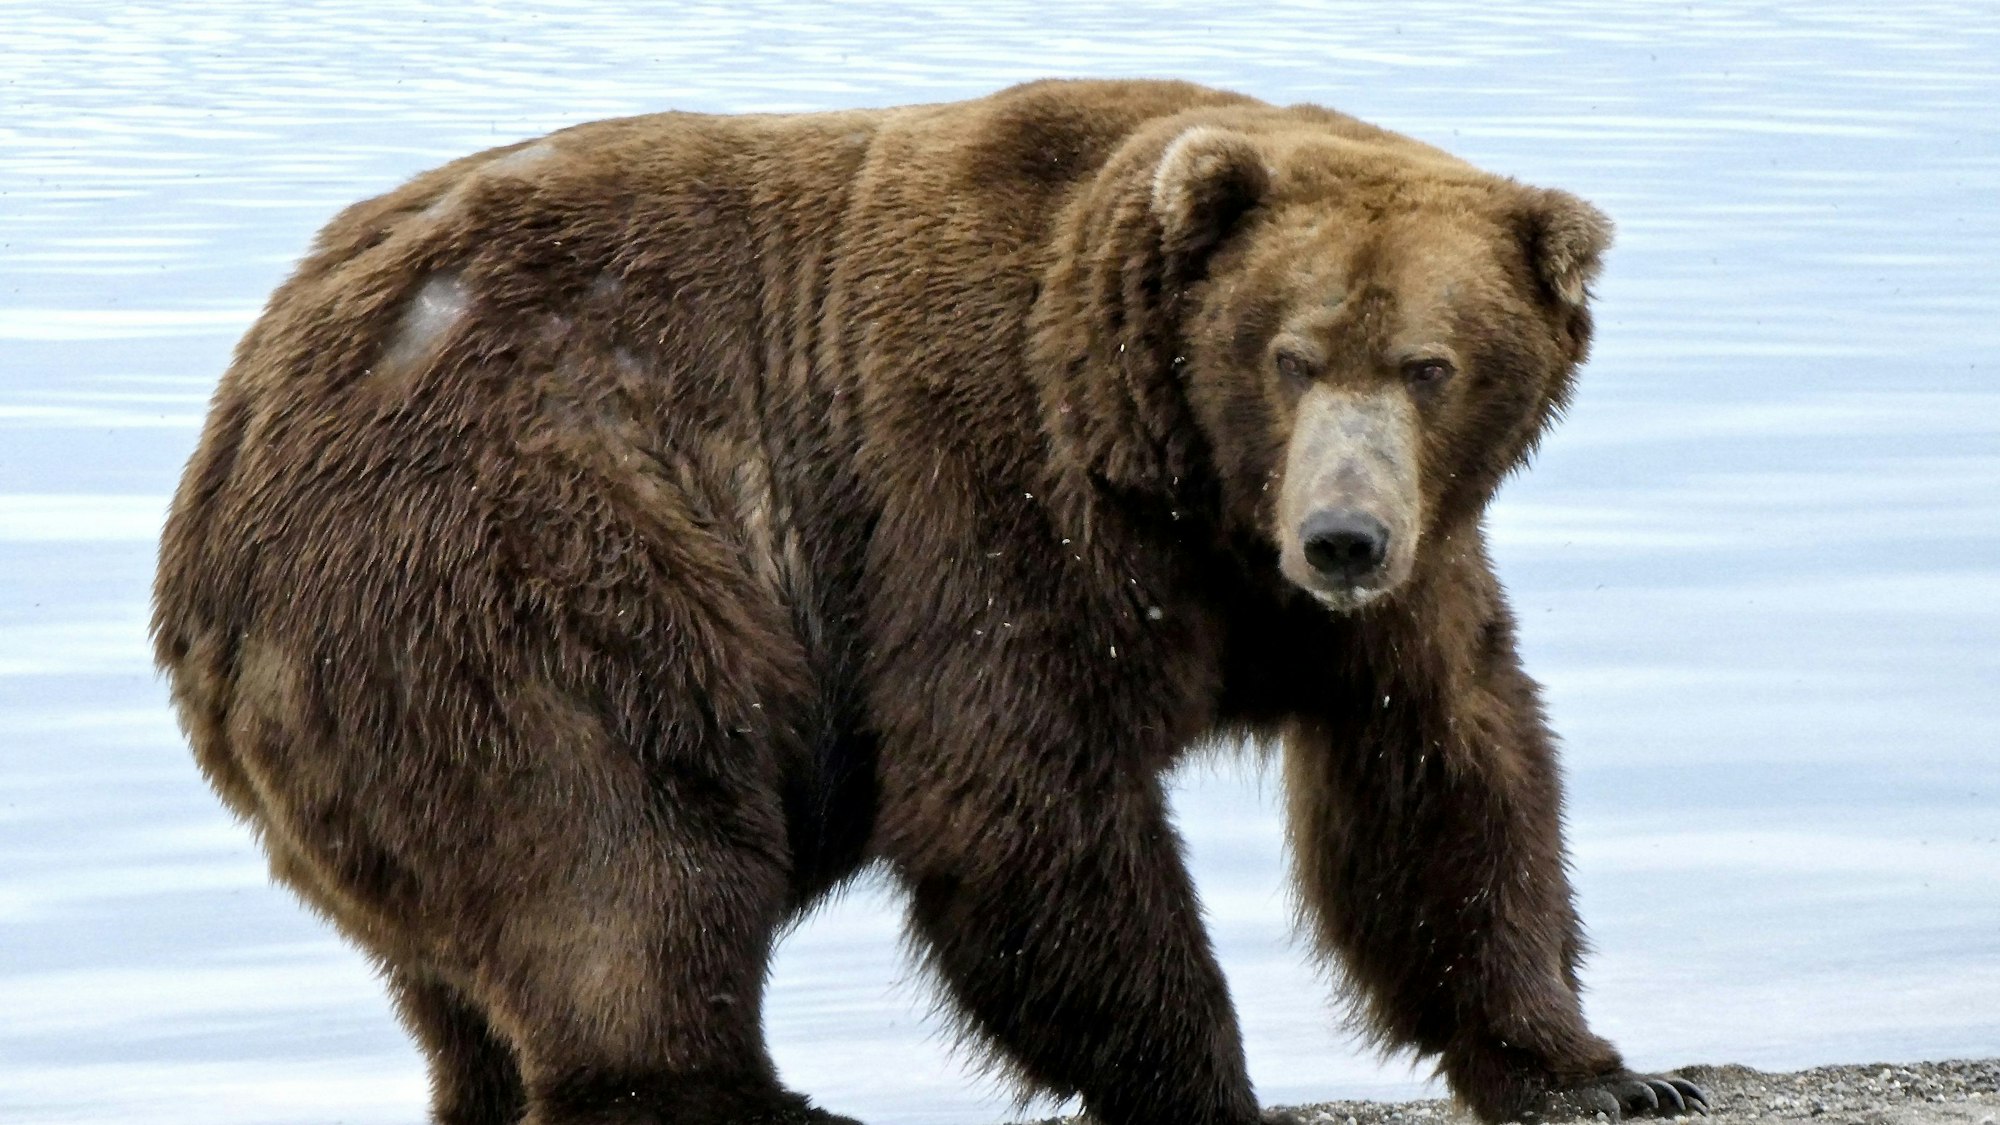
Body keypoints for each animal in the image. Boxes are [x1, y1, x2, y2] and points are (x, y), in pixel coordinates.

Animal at [152, 78, 1707, 1125]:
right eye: (1292, 353)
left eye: (1430, 364)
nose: (1340, 536)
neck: (1187, 487)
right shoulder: (985, 476)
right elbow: (1015, 789)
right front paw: (1206, 1080)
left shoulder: (1401, 573)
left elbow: (1445, 775)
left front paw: (1593, 1069)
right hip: (512, 542)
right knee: (622, 836)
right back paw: (733, 1089)